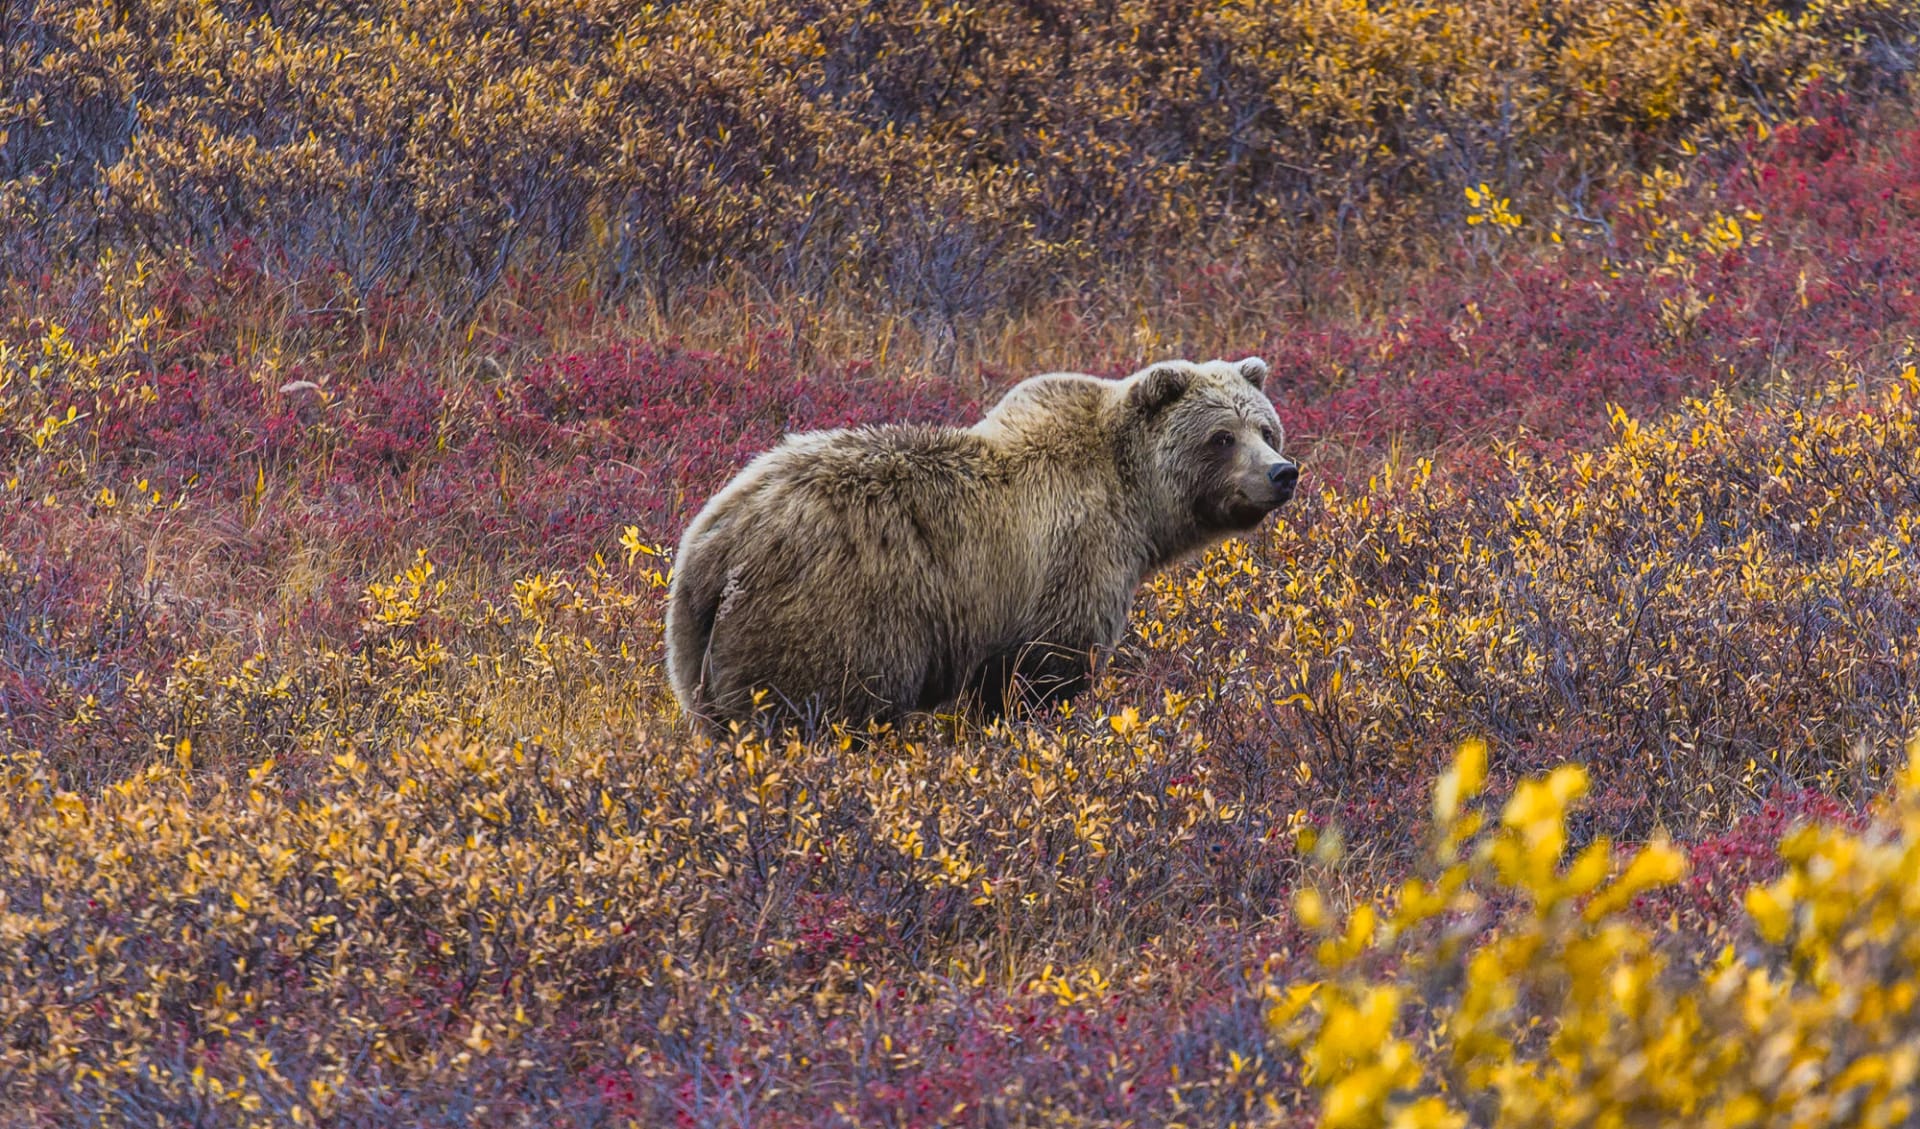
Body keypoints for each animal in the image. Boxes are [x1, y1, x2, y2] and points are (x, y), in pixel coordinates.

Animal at [663, 356, 1297, 732]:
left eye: (1267, 428)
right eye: (1222, 437)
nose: (1281, 473)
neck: (1136, 502)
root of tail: (714, 546)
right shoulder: (1070, 560)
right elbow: (1041, 671)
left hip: (695, 651)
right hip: (831, 617)